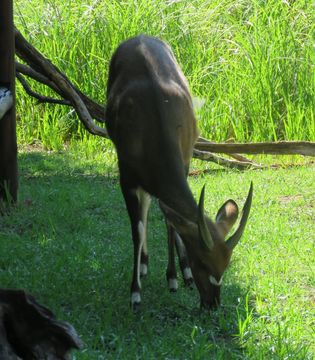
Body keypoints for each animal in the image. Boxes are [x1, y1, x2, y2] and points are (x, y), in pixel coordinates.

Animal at [105, 34, 253, 310]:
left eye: (226, 264)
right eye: (202, 262)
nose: (212, 303)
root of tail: (139, 37)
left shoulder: (184, 163)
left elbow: (170, 220)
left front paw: (174, 277)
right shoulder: (126, 176)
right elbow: (137, 228)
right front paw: (135, 293)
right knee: (144, 209)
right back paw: (143, 267)